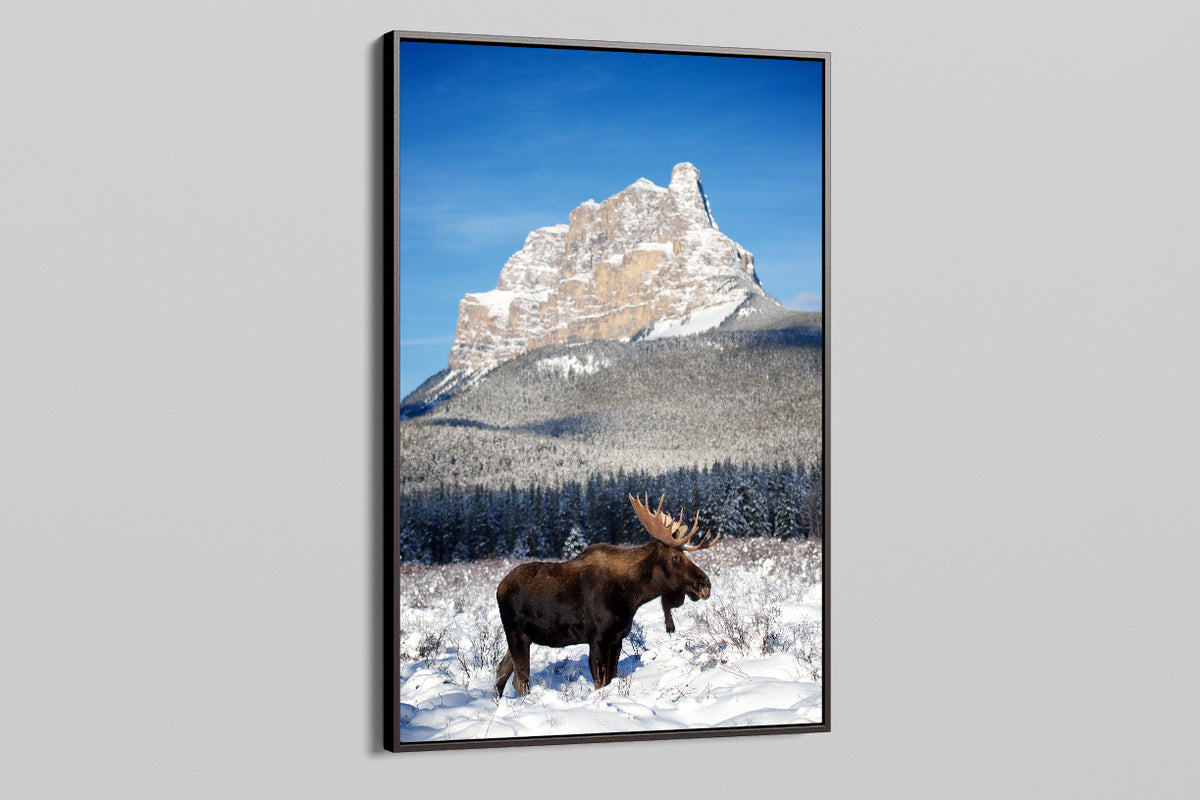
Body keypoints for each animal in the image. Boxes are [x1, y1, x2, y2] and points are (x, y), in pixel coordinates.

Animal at [495, 493, 721, 696]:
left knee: (502, 670)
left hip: (523, 636)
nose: (705, 584)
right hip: (516, 633)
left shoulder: (617, 638)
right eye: (675, 558)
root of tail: (499, 588)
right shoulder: (598, 638)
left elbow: (611, 678)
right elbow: (599, 682)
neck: (632, 595)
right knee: (520, 680)